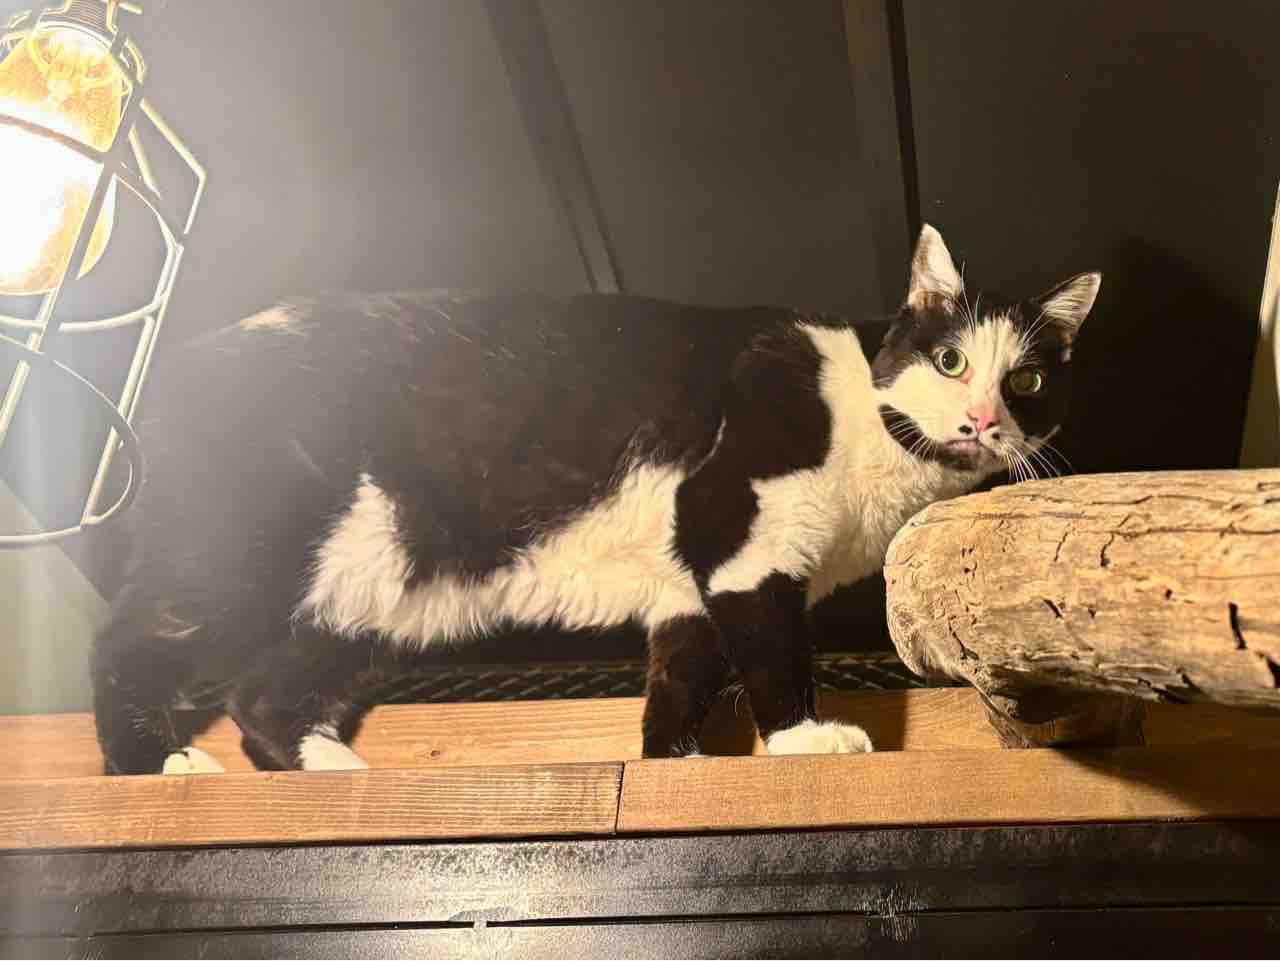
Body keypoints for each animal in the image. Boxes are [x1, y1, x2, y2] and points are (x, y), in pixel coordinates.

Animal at [92, 225, 1100, 774]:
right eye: (952, 359)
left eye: (1029, 381)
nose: (984, 419)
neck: (869, 419)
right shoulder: (739, 528)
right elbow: (775, 656)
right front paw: (804, 740)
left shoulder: (692, 593)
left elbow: (681, 683)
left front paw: (676, 768)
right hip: (249, 552)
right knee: (127, 644)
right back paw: (158, 764)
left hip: (372, 593)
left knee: (263, 697)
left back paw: (330, 769)